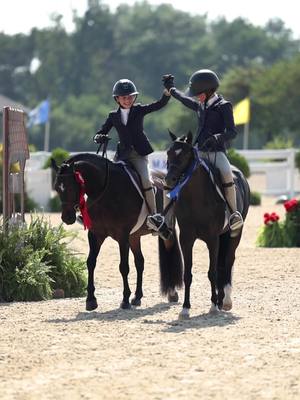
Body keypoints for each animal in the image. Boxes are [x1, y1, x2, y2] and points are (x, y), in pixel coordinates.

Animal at [51, 153, 183, 312]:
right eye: (57, 188)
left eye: (71, 187)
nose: (67, 218)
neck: (105, 190)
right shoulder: (95, 234)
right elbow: (90, 262)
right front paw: (91, 300)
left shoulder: (122, 236)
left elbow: (123, 267)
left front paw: (125, 300)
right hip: (134, 236)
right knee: (140, 262)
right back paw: (137, 297)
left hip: (164, 231)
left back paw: (172, 294)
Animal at [161, 131, 250, 318]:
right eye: (168, 152)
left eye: (185, 154)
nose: (169, 180)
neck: (196, 198)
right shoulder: (186, 239)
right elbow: (187, 274)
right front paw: (185, 308)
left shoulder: (212, 239)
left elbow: (212, 272)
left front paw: (213, 306)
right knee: (222, 265)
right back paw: (221, 299)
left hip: (234, 234)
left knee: (228, 262)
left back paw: (225, 301)